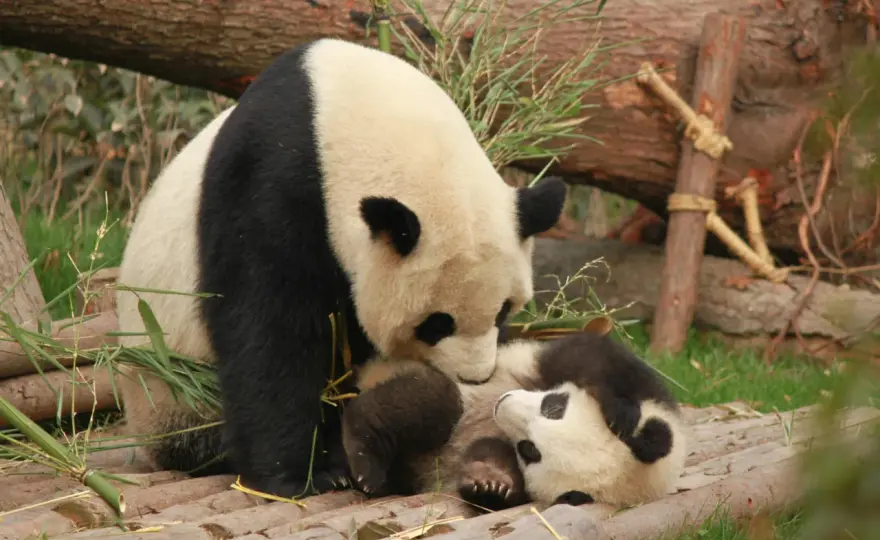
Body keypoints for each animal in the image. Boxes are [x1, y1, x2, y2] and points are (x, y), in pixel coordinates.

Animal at [113, 37, 568, 499]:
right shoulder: (269, 185)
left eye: (503, 310)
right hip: (172, 389)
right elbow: (270, 332)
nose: (474, 377)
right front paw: (300, 475)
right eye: (436, 323)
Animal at [341, 330, 686, 511]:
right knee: (430, 405)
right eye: (554, 406)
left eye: (529, 450)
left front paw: (491, 482)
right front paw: (619, 410)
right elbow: (590, 355)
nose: (502, 404)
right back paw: (365, 461)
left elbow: (494, 459)